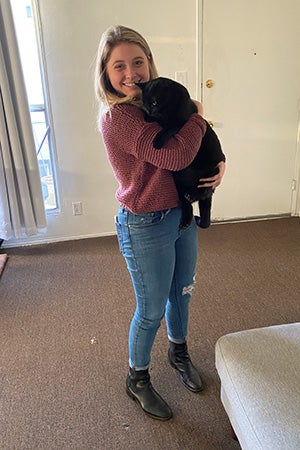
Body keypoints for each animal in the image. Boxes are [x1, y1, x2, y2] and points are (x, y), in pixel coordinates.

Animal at [137, 77, 225, 229]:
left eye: (154, 102)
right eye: (145, 104)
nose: (150, 112)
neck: (169, 108)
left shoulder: (182, 121)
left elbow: (169, 128)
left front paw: (157, 142)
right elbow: (161, 123)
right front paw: (148, 118)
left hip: (213, 171)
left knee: (205, 191)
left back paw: (193, 195)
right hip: (177, 182)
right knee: (187, 205)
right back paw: (185, 219)